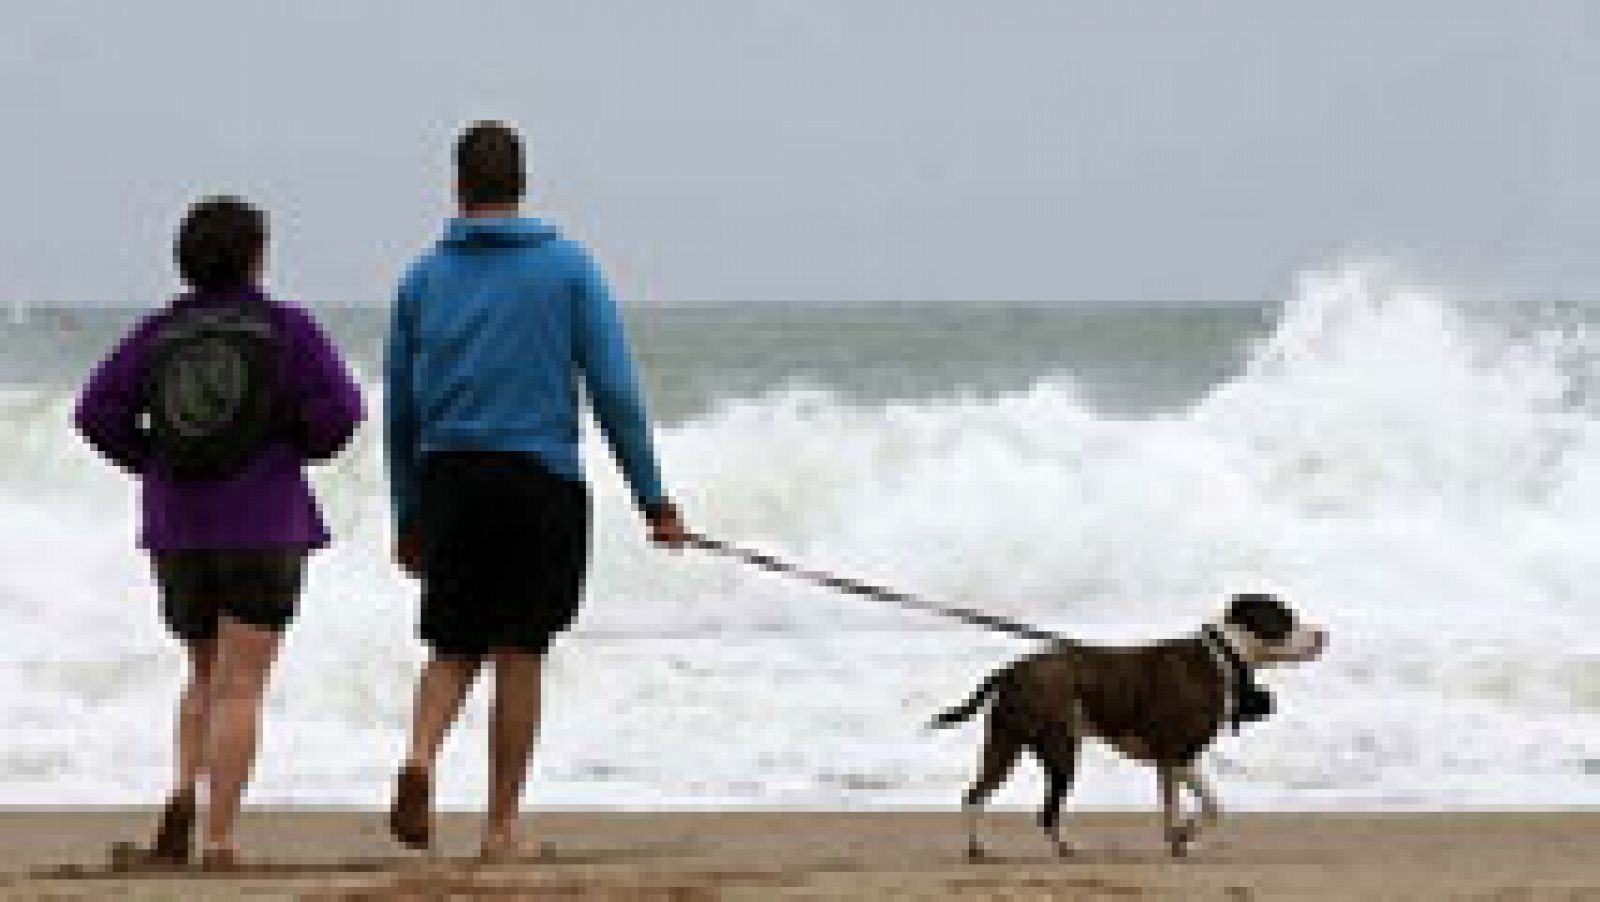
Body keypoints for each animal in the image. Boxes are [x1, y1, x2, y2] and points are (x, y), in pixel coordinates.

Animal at [928, 591, 1324, 857]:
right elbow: (1211, 806)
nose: (1324, 635)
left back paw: (978, 847)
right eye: (1285, 618)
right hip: (1060, 751)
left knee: (975, 794)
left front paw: (1177, 840)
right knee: (1044, 811)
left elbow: (1179, 807)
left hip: (1004, 744)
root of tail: (1010, 670)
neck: (1225, 655)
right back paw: (1063, 847)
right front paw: (1187, 833)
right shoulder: (1180, 755)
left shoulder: (1170, 764)